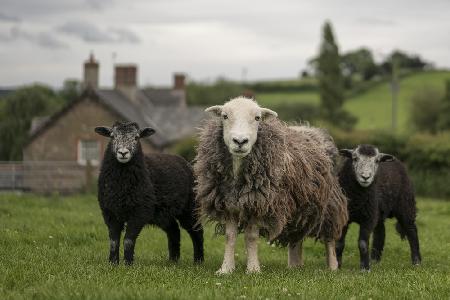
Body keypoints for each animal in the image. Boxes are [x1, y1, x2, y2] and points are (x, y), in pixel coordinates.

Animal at [95, 120, 204, 264]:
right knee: (174, 230)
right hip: (163, 213)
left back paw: (198, 260)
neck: (122, 185)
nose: (123, 153)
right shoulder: (110, 212)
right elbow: (113, 241)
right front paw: (113, 263)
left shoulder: (140, 211)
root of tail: (183, 161)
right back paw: (173, 260)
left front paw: (128, 263)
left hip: (189, 207)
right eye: (113, 136)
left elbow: (128, 240)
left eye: (136, 137)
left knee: (196, 231)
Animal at [194, 97, 348, 274]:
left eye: (257, 118)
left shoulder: (259, 204)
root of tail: (310, 129)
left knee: (329, 236)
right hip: (299, 206)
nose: (240, 141)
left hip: (329, 204)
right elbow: (229, 237)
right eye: (224, 116)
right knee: (296, 236)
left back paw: (332, 267)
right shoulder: (228, 205)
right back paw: (294, 265)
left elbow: (251, 237)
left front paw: (253, 269)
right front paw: (226, 269)